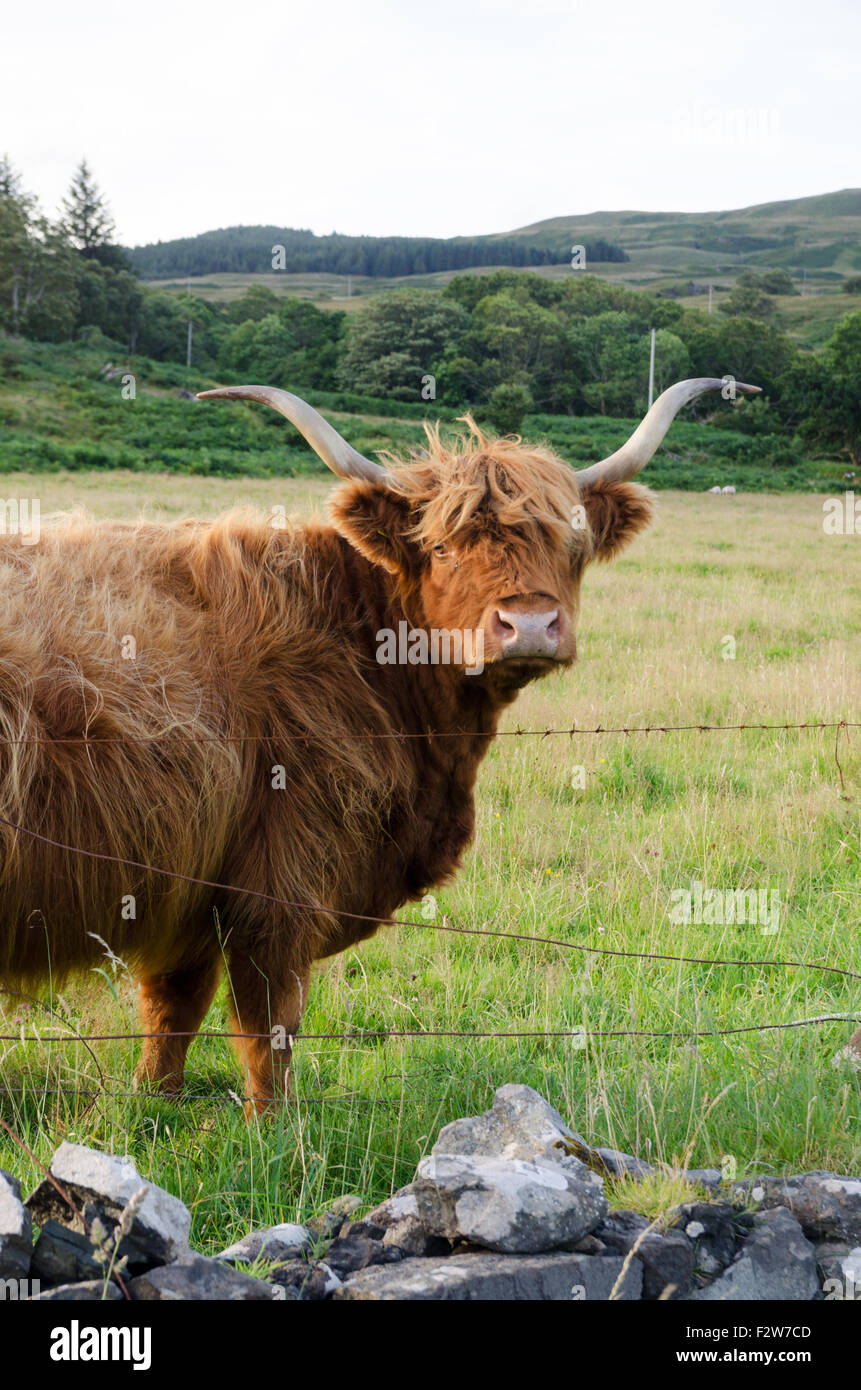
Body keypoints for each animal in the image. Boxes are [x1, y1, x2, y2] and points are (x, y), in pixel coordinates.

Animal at [0, 377, 758, 1111]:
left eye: (570, 548)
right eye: (444, 547)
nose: (530, 625)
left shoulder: (190, 880)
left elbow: (173, 1011)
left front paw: (155, 1104)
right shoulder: (281, 872)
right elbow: (267, 1022)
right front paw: (274, 1129)